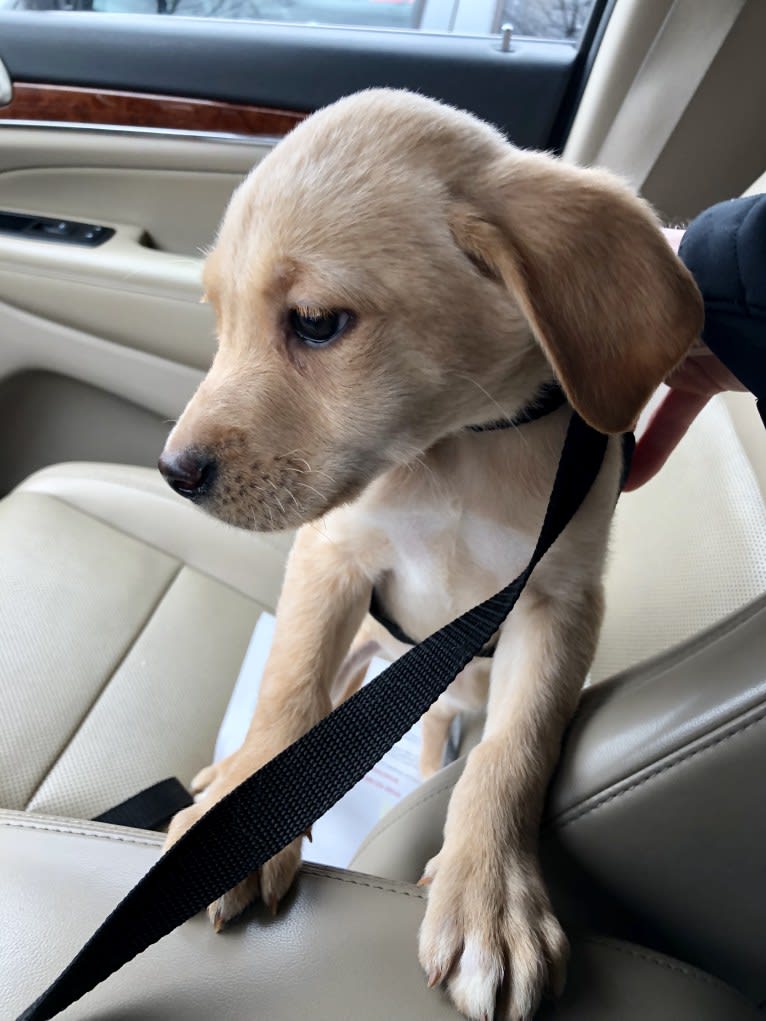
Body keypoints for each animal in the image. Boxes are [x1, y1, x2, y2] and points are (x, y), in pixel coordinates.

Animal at [159, 89, 706, 1021]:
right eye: (219, 319)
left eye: (315, 323)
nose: (173, 472)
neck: (457, 444)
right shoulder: (333, 557)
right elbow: (287, 691)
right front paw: (240, 814)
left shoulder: (559, 604)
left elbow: (512, 753)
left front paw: (490, 896)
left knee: (452, 730)